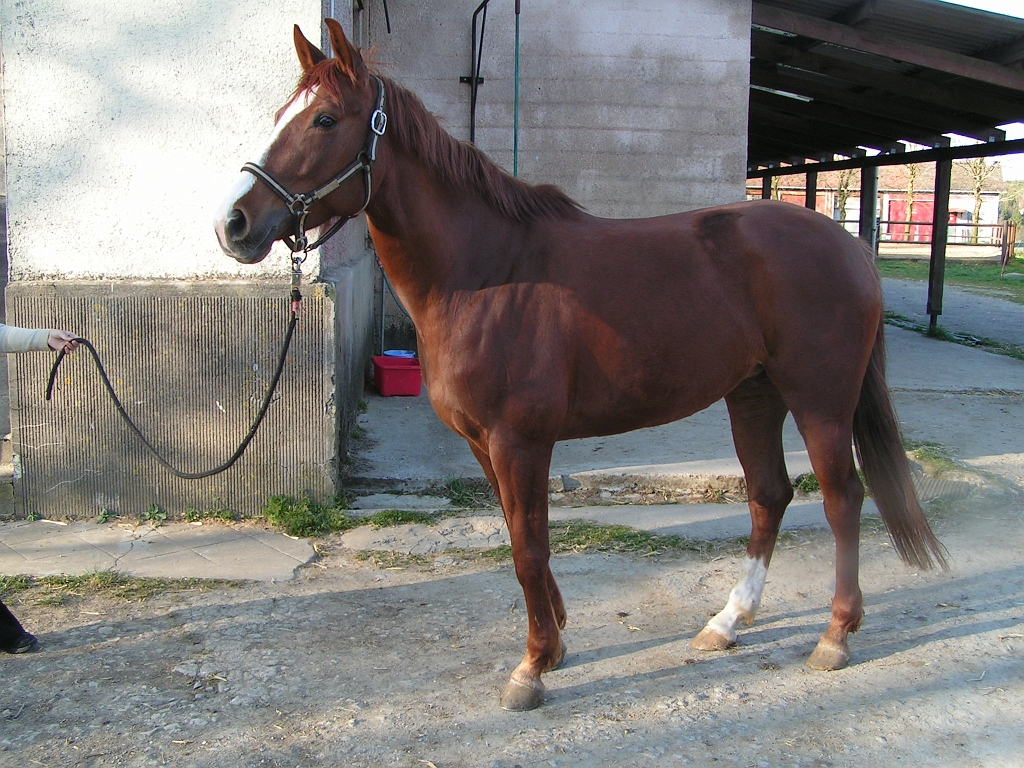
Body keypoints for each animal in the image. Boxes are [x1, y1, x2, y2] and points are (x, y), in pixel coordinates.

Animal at [214, 19, 948, 711]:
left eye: (324, 119)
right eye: (281, 112)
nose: (235, 225)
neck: (485, 272)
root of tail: (846, 244)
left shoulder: (520, 441)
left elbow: (528, 549)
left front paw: (532, 667)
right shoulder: (485, 444)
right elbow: (523, 541)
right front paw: (557, 641)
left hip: (819, 399)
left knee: (843, 499)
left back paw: (834, 636)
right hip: (754, 395)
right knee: (769, 496)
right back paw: (727, 622)